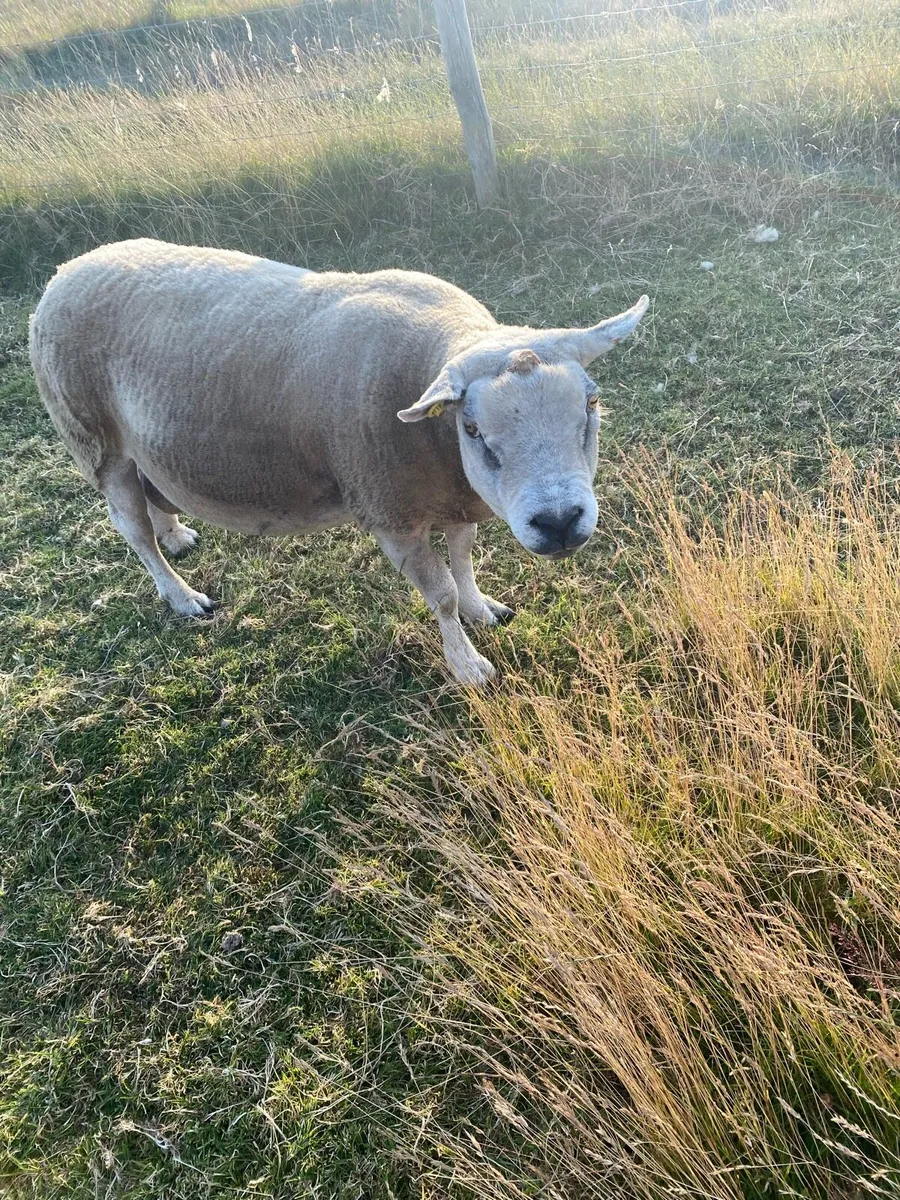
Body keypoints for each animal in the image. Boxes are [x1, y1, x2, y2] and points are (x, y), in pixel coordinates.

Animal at [29, 238, 649, 685]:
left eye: (591, 405)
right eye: (473, 429)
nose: (559, 522)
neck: (436, 442)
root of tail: (67, 269)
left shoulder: (453, 493)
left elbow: (465, 559)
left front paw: (483, 609)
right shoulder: (390, 511)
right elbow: (442, 594)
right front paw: (468, 665)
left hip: (144, 445)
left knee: (153, 495)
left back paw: (176, 533)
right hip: (94, 440)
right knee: (133, 530)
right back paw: (182, 596)